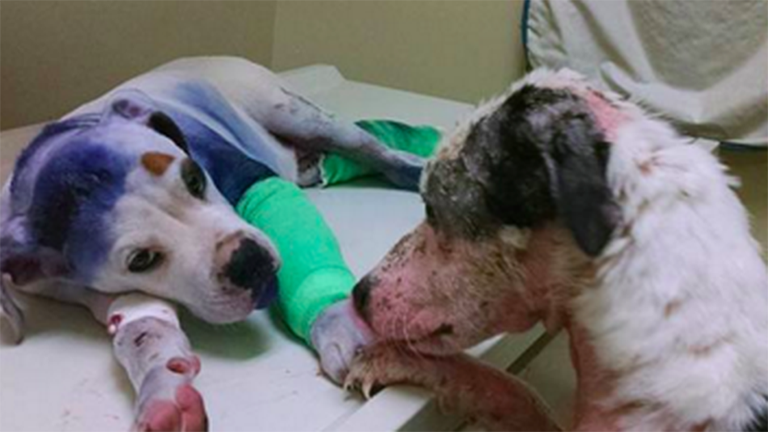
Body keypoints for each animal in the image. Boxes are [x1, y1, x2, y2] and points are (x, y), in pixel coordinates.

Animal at [0, 57, 417, 431]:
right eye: (141, 260)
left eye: (194, 178)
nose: (248, 261)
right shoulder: (113, 293)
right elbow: (143, 333)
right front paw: (163, 392)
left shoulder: (250, 177)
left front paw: (336, 323)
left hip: (298, 115)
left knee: (370, 148)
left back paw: (415, 166)